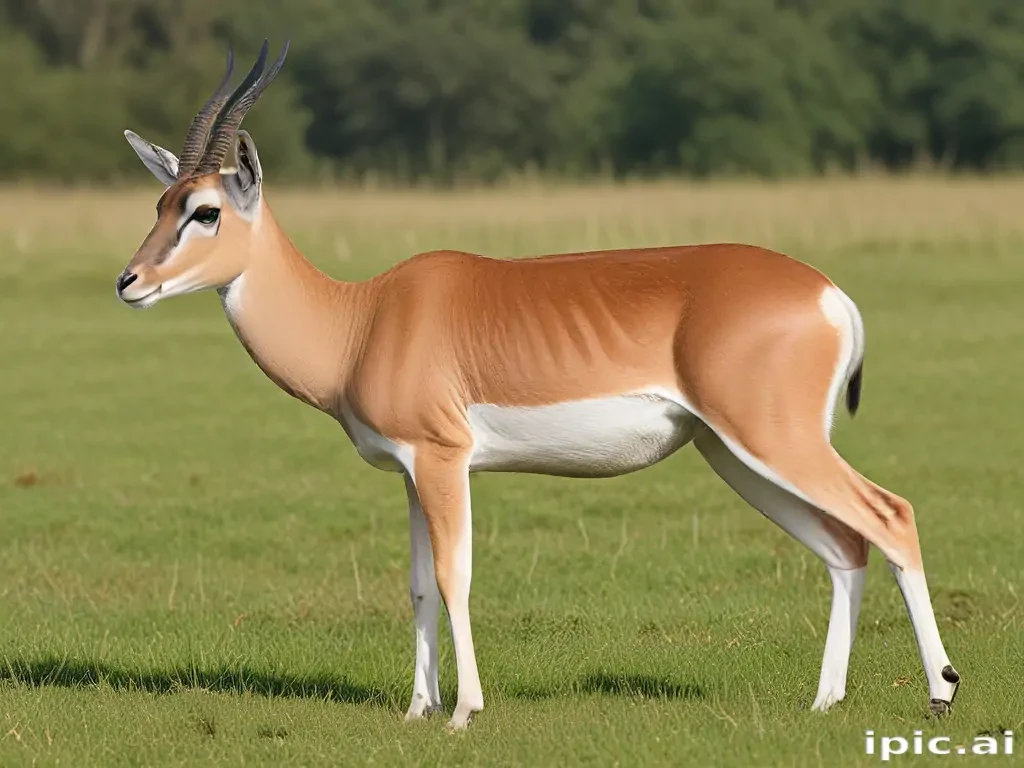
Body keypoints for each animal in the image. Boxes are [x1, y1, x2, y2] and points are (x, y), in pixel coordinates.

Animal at [116, 41, 960, 729]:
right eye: (160, 203)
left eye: (205, 211)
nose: (129, 282)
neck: (363, 320)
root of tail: (828, 294)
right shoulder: (410, 472)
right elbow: (417, 585)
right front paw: (418, 710)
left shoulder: (444, 460)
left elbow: (454, 577)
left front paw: (464, 711)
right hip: (733, 453)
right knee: (844, 545)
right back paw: (824, 701)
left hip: (771, 441)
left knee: (891, 515)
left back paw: (940, 692)